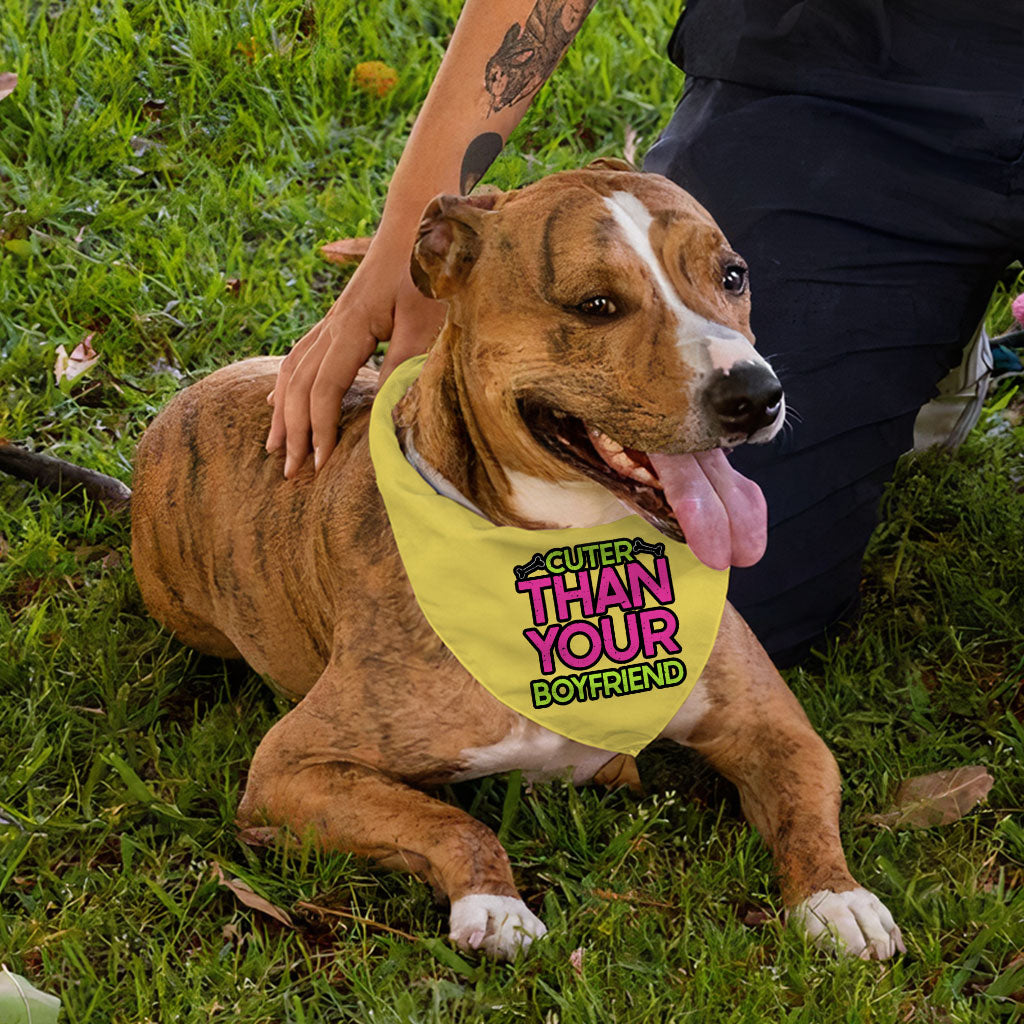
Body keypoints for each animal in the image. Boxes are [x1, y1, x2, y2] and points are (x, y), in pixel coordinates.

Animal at [130, 165, 905, 958]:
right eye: (596, 305)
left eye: (733, 275)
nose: (755, 393)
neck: (576, 559)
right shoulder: (293, 767)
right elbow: (451, 821)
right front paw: (493, 904)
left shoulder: (774, 728)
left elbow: (805, 807)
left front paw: (837, 897)